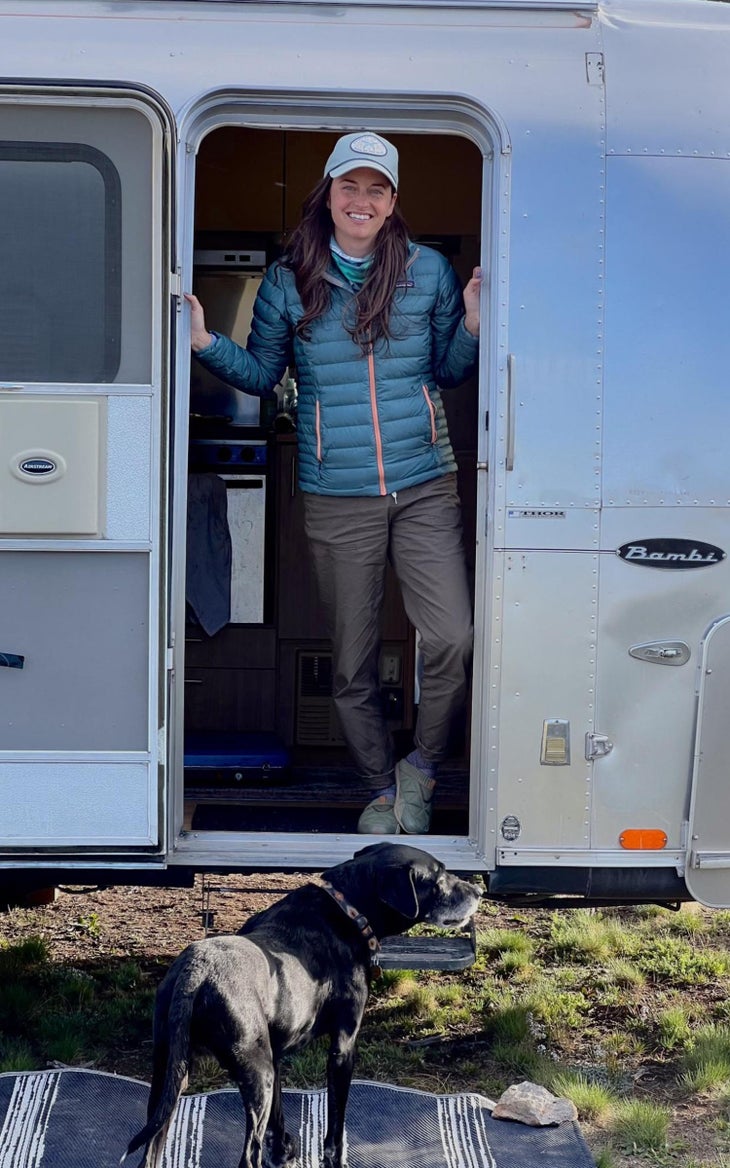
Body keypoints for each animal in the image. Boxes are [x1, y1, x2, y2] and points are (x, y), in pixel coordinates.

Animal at [122, 845, 481, 1168]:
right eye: (438, 877)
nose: (478, 891)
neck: (349, 909)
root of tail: (193, 974)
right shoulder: (343, 1047)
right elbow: (335, 1132)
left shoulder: (276, 1054)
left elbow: (278, 1117)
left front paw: (282, 1153)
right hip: (256, 1075)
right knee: (248, 1156)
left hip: (169, 1076)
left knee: (151, 1150)